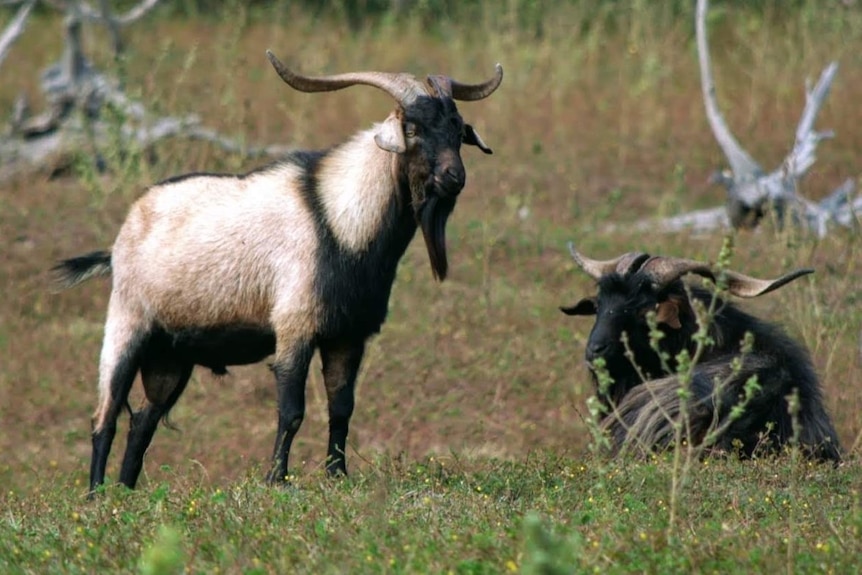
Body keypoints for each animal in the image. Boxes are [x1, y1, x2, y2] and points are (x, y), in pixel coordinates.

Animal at [54, 49, 506, 492]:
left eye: (457, 128)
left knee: (142, 422)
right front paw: (277, 480)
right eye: (412, 128)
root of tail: (121, 239)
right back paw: (96, 497)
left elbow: (342, 408)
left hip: (171, 356)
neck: (339, 221)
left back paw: (126, 493)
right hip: (127, 324)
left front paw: (337, 476)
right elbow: (292, 410)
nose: (454, 177)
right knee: (105, 416)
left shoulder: (348, 334)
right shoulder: (294, 326)